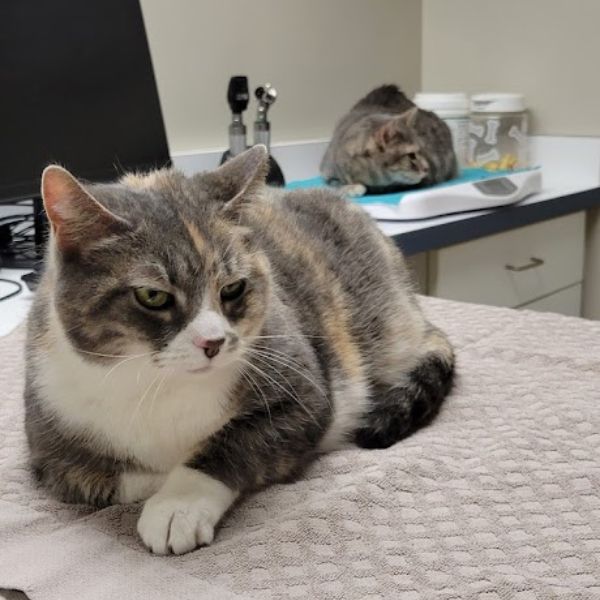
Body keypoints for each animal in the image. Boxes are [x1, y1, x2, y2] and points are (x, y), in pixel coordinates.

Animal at [24, 144, 454, 552]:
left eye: (232, 288)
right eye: (152, 296)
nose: (213, 342)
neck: (156, 384)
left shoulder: (303, 389)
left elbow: (234, 443)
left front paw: (177, 505)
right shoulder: (50, 442)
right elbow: (104, 477)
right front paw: (159, 484)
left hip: (387, 323)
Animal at [322, 84, 458, 195]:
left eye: (422, 151)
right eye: (411, 156)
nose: (427, 168)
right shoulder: (328, 171)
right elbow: (335, 183)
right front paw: (350, 187)